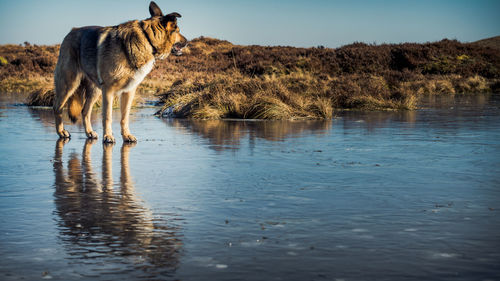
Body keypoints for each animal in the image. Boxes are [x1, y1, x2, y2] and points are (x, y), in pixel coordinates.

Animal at [53, 1, 188, 142]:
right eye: (178, 31)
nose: (187, 42)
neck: (147, 38)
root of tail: (71, 31)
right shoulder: (108, 90)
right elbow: (108, 116)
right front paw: (108, 136)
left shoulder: (129, 91)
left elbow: (125, 117)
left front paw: (126, 135)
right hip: (69, 85)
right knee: (57, 107)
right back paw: (61, 132)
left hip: (95, 90)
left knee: (85, 111)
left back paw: (89, 132)